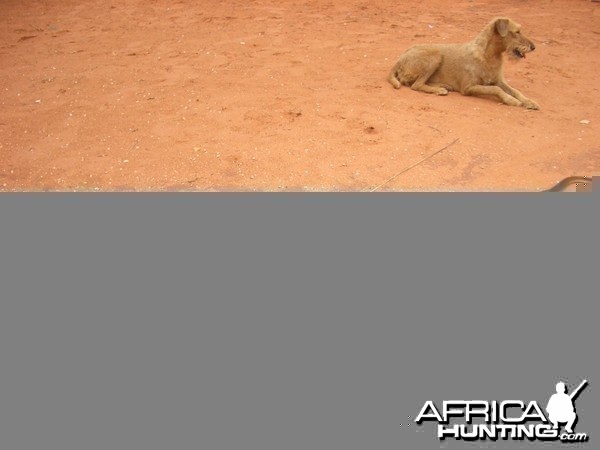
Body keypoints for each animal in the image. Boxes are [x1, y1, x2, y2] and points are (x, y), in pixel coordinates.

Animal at [390, 17, 540, 110]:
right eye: (517, 32)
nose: (534, 47)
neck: (489, 55)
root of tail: (399, 59)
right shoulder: (468, 87)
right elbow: (495, 89)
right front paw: (511, 100)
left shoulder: (498, 80)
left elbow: (515, 91)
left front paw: (529, 101)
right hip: (435, 55)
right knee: (416, 85)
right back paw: (439, 90)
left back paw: (443, 86)